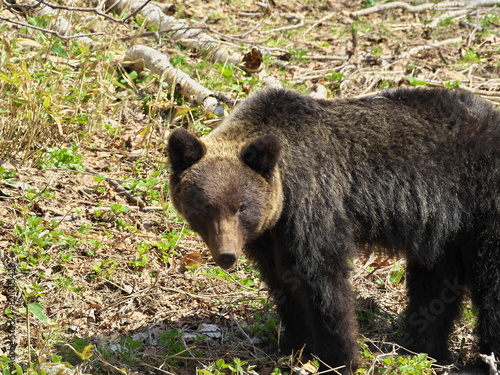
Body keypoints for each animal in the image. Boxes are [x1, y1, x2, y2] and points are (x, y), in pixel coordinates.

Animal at [168, 87, 500, 374]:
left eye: (241, 207)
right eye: (205, 205)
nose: (227, 255)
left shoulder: (313, 202)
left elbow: (323, 282)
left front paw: (339, 359)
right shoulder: (269, 234)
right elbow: (283, 281)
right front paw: (293, 345)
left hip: (482, 202)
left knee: (490, 281)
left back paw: (480, 359)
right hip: (446, 230)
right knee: (434, 283)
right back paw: (423, 349)